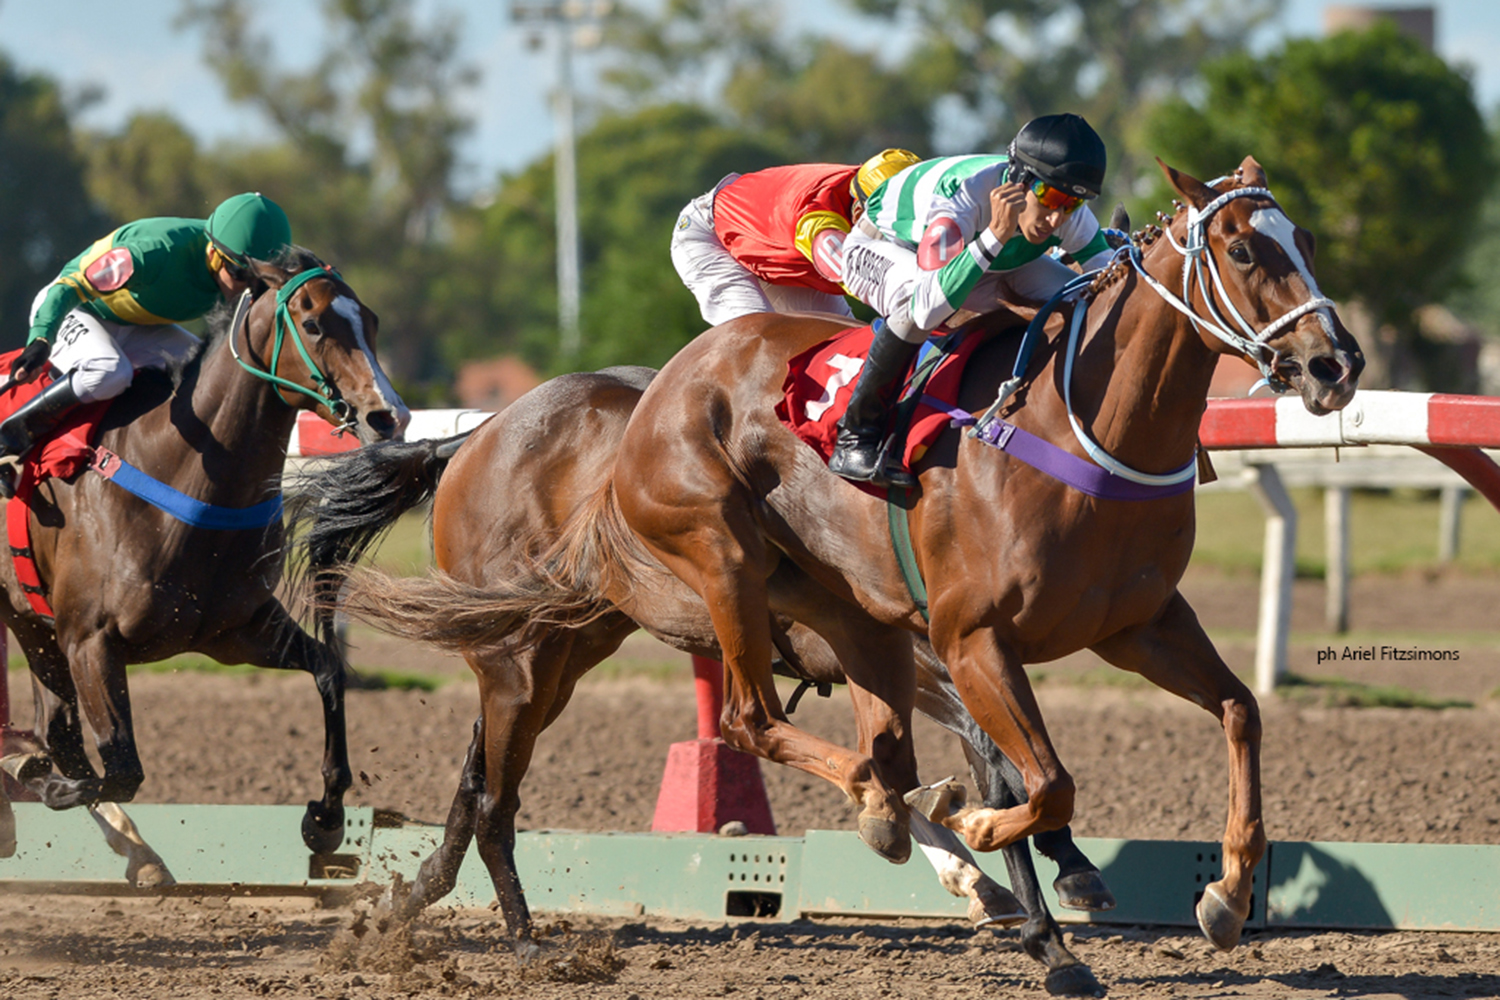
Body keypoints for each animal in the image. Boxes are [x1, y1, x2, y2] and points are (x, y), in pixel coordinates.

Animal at [0, 248, 409, 880]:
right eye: (314, 323)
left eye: (372, 320)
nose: (388, 417)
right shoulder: (89, 640)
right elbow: (121, 768)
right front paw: (44, 782)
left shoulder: (235, 631)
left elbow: (328, 671)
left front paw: (326, 817)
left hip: (30, 622)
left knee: (55, 729)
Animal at [288, 366, 1115, 996]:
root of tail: (477, 435)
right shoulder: (919, 660)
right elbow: (977, 768)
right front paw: (1037, 928)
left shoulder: (915, 663)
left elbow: (952, 769)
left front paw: (1045, 879)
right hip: (518, 656)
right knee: (495, 799)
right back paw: (524, 940)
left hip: (566, 648)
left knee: (476, 772)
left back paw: (412, 901)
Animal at [395, 157, 1360, 952]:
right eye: (1242, 250)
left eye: (1309, 242)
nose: (1335, 365)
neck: (1076, 423)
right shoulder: (969, 639)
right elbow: (1039, 778)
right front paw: (995, 857)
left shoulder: (1138, 622)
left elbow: (1239, 712)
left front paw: (1223, 896)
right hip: (680, 574)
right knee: (737, 721)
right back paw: (521, 927)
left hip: (593, 637)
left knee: (495, 764)